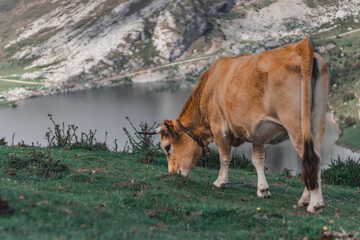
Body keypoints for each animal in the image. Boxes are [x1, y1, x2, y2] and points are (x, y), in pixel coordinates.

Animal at [153, 38, 330, 213]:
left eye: (167, 147)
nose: (173, 173)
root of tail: (301, 46)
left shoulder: (219, 126)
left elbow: (224, 156)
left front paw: (220, 182)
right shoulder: (258, 132)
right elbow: (258, 160)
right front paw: (263, 190)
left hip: (296, 125)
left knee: (311, 158)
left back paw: (315, 204)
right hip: (317, 124)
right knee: (314, 160)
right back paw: (304, 200)